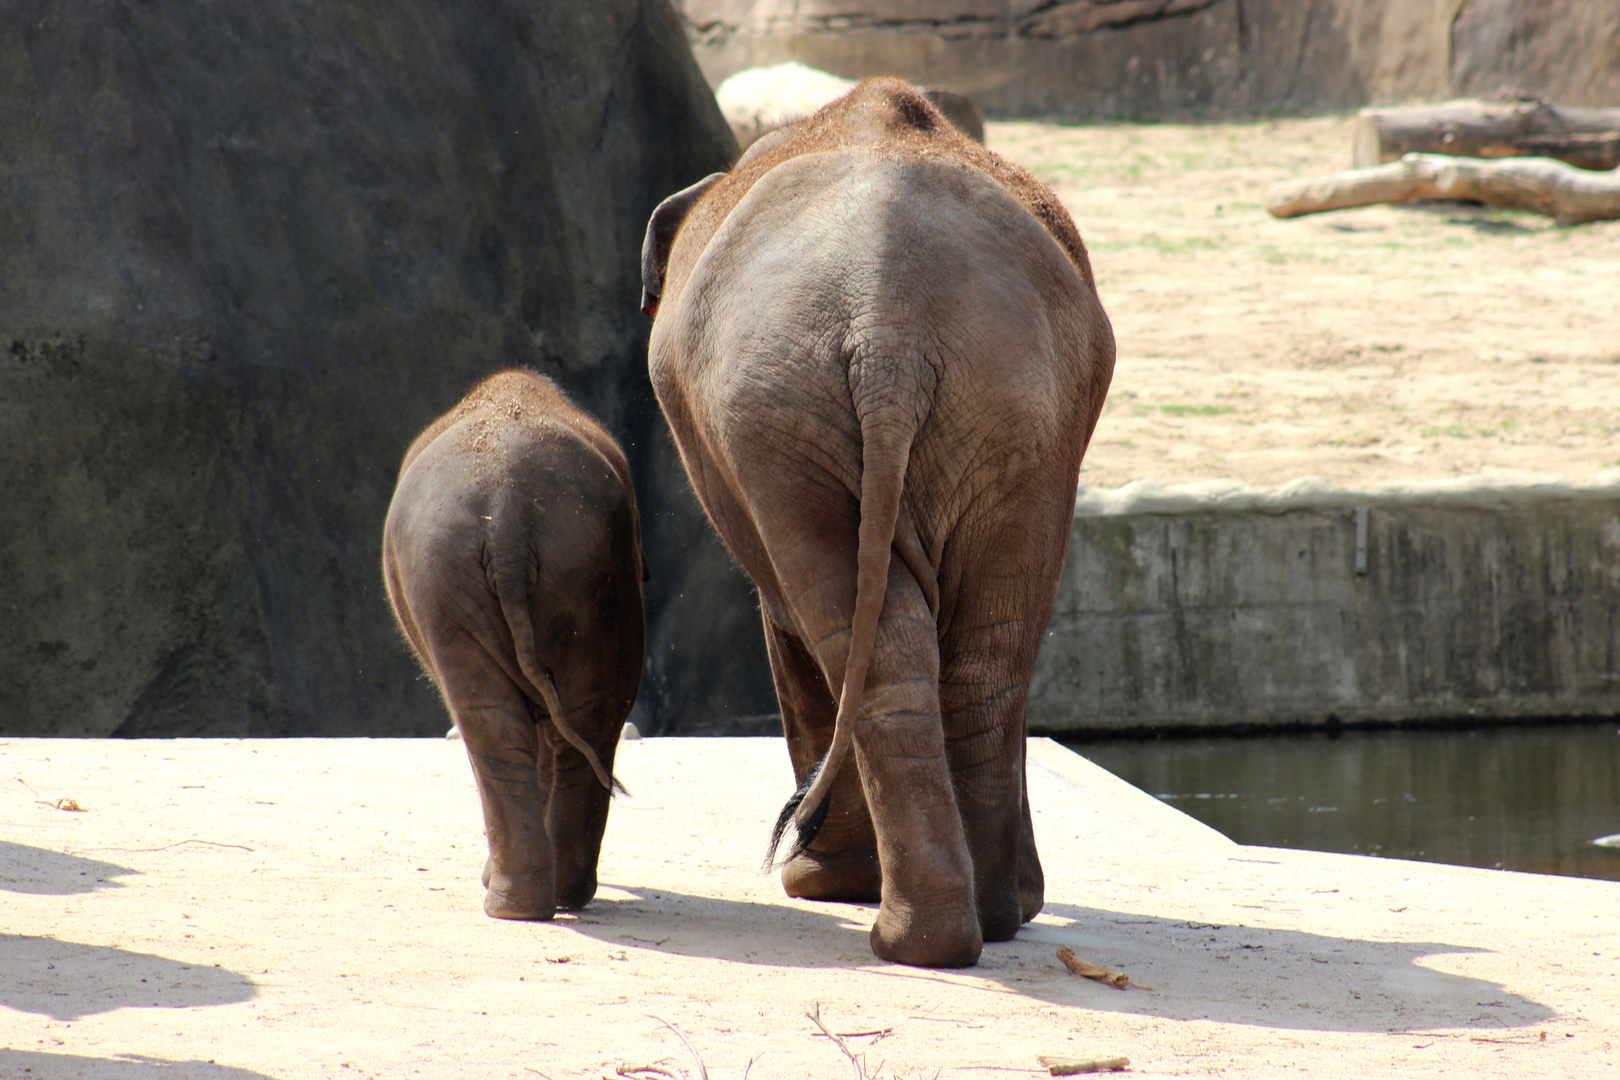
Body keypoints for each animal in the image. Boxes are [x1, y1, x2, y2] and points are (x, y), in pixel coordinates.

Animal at [385, 369, 644, 919]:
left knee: (501, 721)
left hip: (463, 575)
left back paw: (524, 901)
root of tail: (506, 517)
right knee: (579, 718)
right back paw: (548, 899)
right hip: (574, 570)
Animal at [641, 80, 1114, 965]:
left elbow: (785, 624)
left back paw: (892, 918)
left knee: (857, 634)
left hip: (796, 412)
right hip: (997, 408)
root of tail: (884, 323)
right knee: (982, 653)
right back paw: (972, 923)